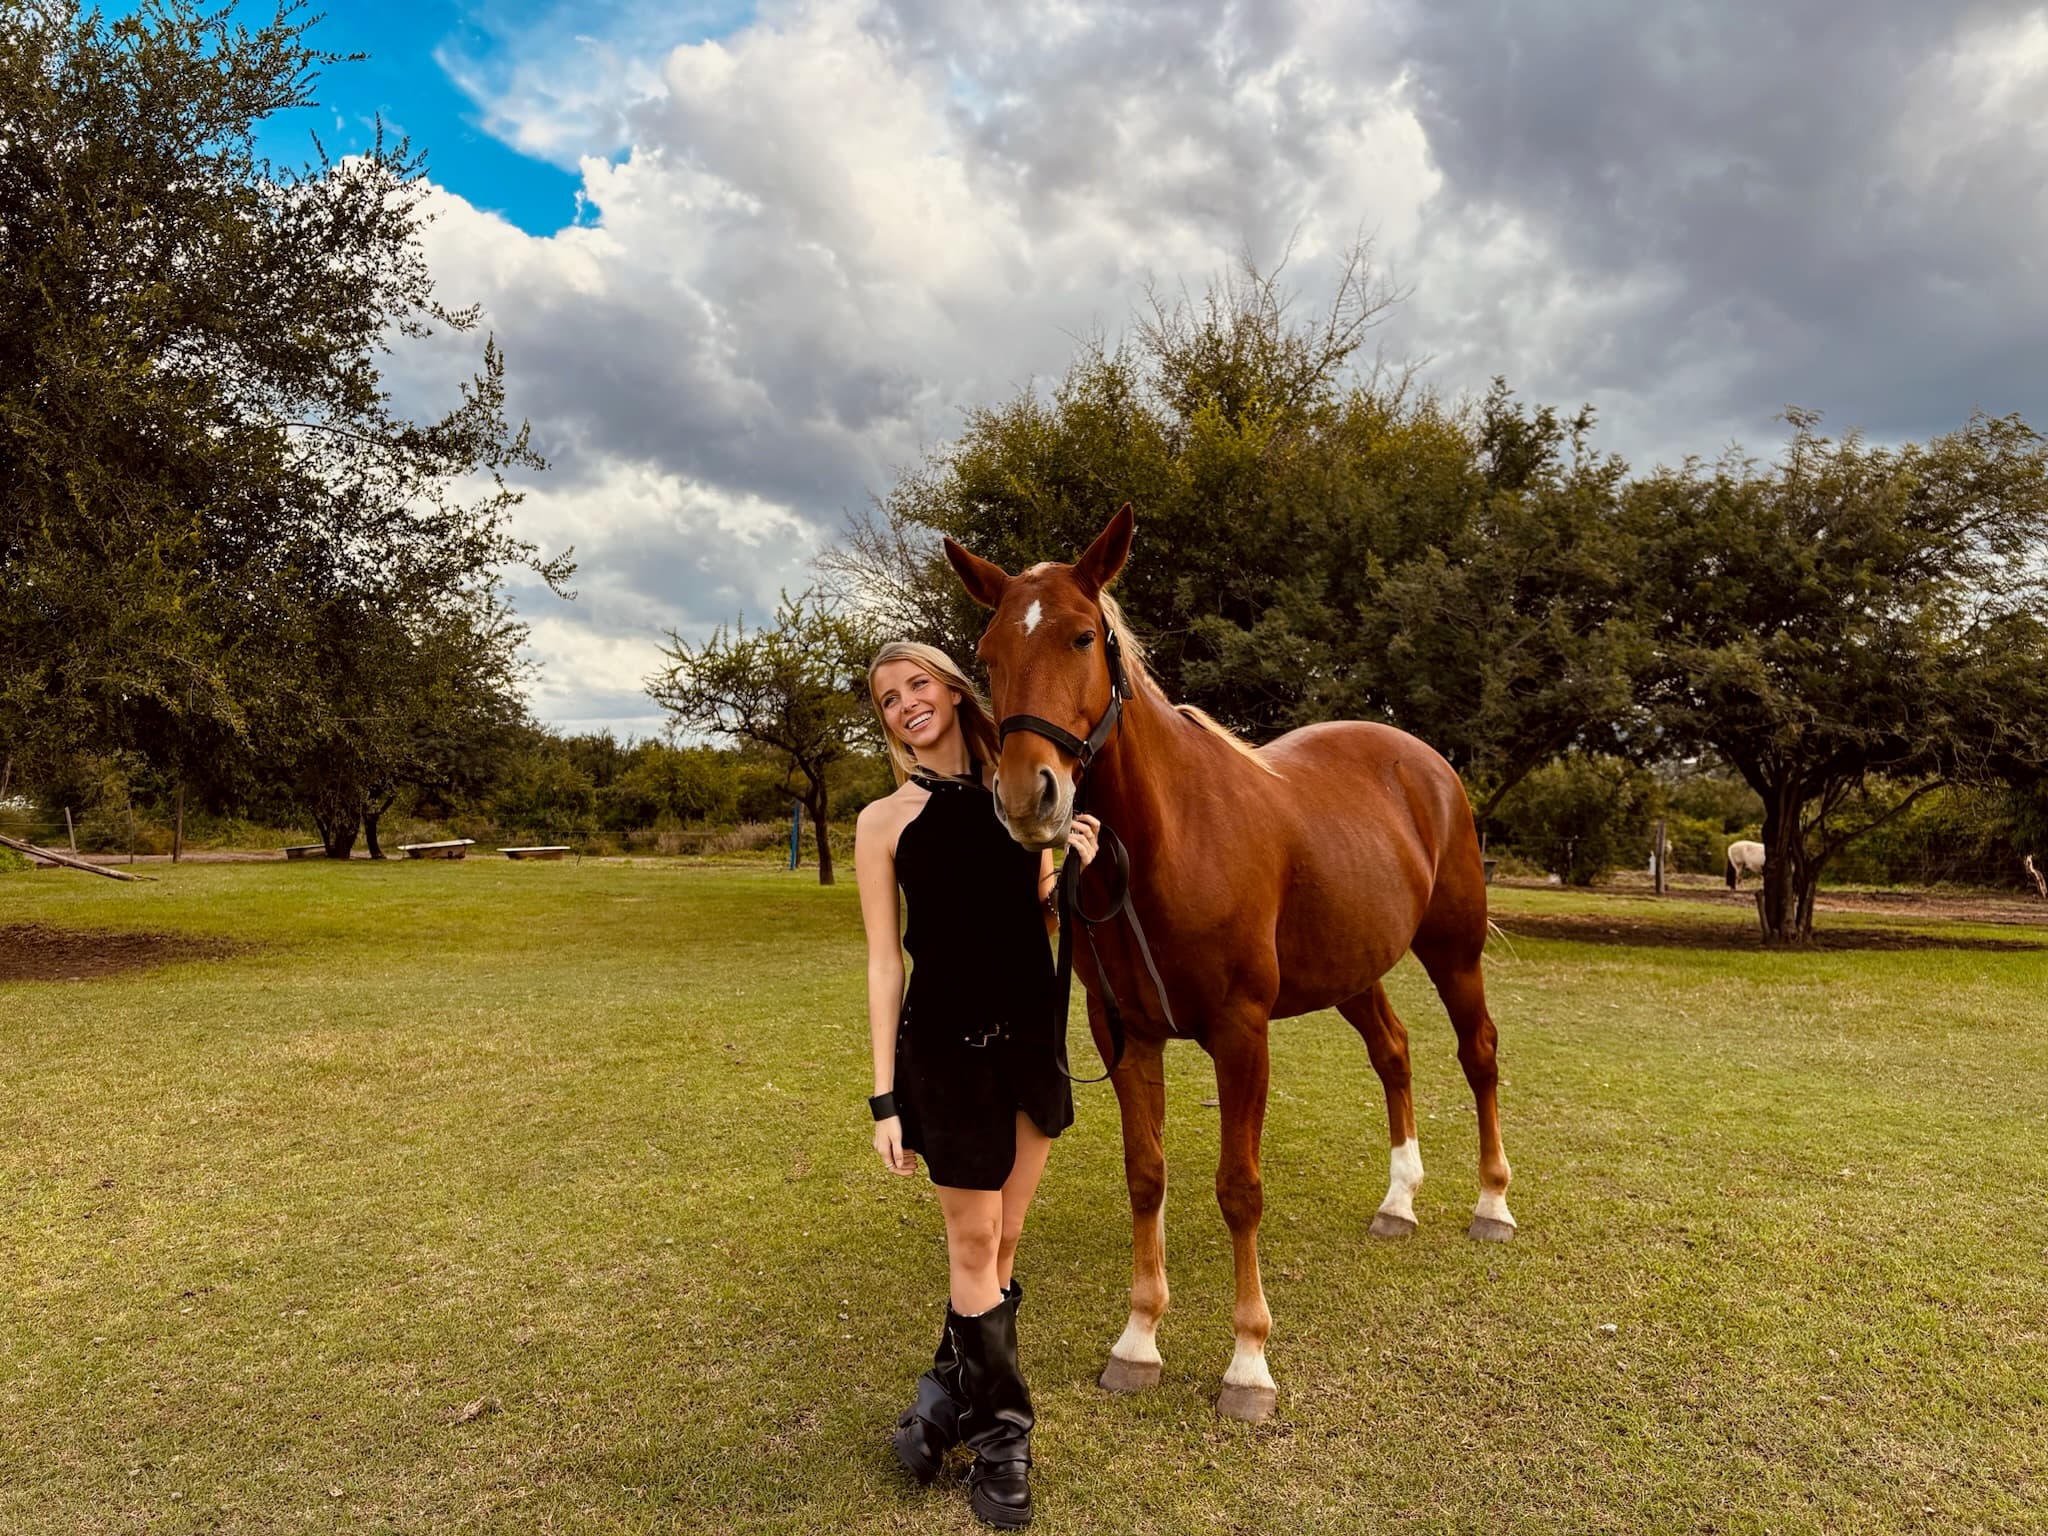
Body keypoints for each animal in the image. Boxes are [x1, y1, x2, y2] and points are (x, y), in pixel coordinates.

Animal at [944, 504, 1514, 1423]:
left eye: (1081, 637)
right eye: (989, 653)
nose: (1029, 797)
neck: (1168, 842)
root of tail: (1426, 764)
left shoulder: (1242, 1034)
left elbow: (1238, 1189)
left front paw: (1248, 1362)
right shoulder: (1124, 1035)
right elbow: (1147, 1177)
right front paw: (1139, 1339)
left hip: (1453, 951)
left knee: (1479, 1055)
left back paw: (1492, 1201)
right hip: (1353, 972)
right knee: (1394, 1054)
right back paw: (1399, 1200)